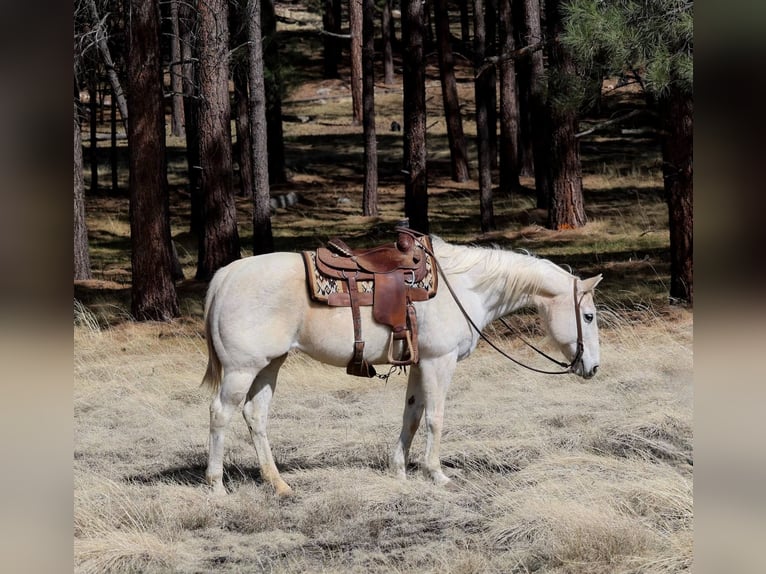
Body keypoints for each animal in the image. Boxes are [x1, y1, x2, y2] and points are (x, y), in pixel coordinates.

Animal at [201, 236, 602, 496]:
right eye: (589, 315)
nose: (594, 368)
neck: (465, 287)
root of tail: (225, 276)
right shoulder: (440, 362)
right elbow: (435, 418)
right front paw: (436, 473)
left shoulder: (420, 363)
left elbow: (411, 415)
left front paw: (399, 470)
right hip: (241, 369)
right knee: (221, 413)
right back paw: (217, 486)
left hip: (270, 365)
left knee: (255, 416)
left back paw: (278, 483)